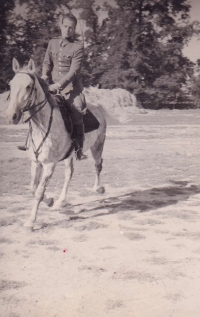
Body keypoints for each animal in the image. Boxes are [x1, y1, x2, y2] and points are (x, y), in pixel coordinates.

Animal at [5, 58, 106, 228]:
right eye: (11, 85)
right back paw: (61, 201)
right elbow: (33, 189)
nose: (11, 116)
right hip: (70, 156)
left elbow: (39, 192)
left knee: (98, 165)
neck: (41, 125)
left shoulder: (49, 165)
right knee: (69, 174)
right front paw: (51, 201)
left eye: (28, 86)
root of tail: (99, 108)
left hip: (97, 146)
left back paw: (98, 188)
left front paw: (31, 220)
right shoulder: (36, 162)